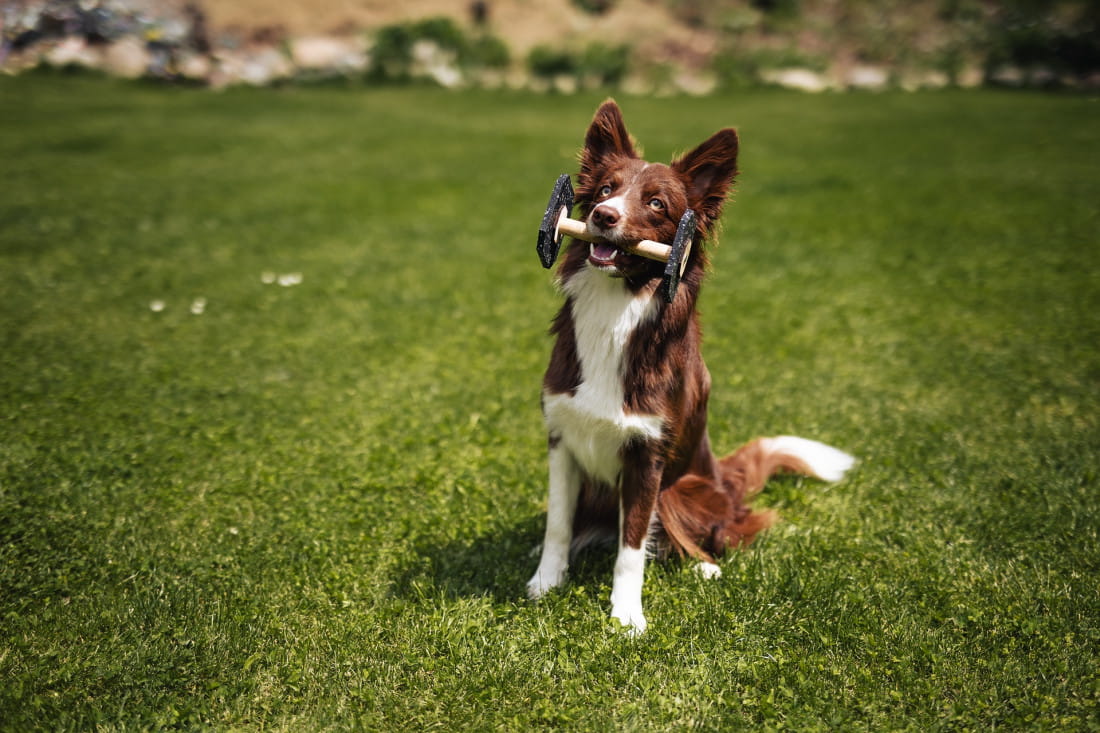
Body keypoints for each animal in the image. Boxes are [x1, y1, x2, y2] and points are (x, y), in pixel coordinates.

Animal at [527, 100, 854, 634]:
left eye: (657, 204)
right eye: (605, 189)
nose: (601, 215)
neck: (616, 307)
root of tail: (725, 479)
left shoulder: (647, 455)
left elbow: (632, 547)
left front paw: (626, 615)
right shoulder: (562, 437)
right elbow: (558, 521)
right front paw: (545, 582)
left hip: (687, 490)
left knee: (719, 531)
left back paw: (704, 565)